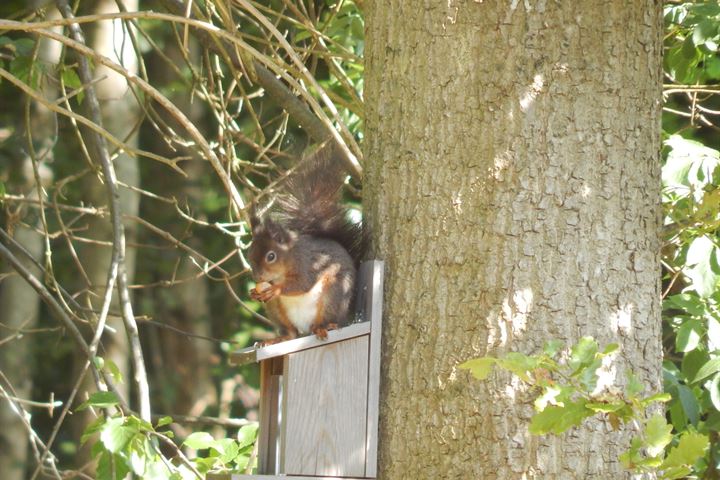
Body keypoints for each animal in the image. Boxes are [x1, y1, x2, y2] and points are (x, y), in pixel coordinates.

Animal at [250, 143, 368, 344]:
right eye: (249, 255)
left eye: (271, 256)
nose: (258, 277)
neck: (289, 256)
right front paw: (253, 292)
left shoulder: (308, 264)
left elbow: (303, 283)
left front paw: (276, 289)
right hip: (277, 310)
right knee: (292, 333)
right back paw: (277, 339)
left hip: (334, 292)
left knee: (325, 320)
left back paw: (324, 327)